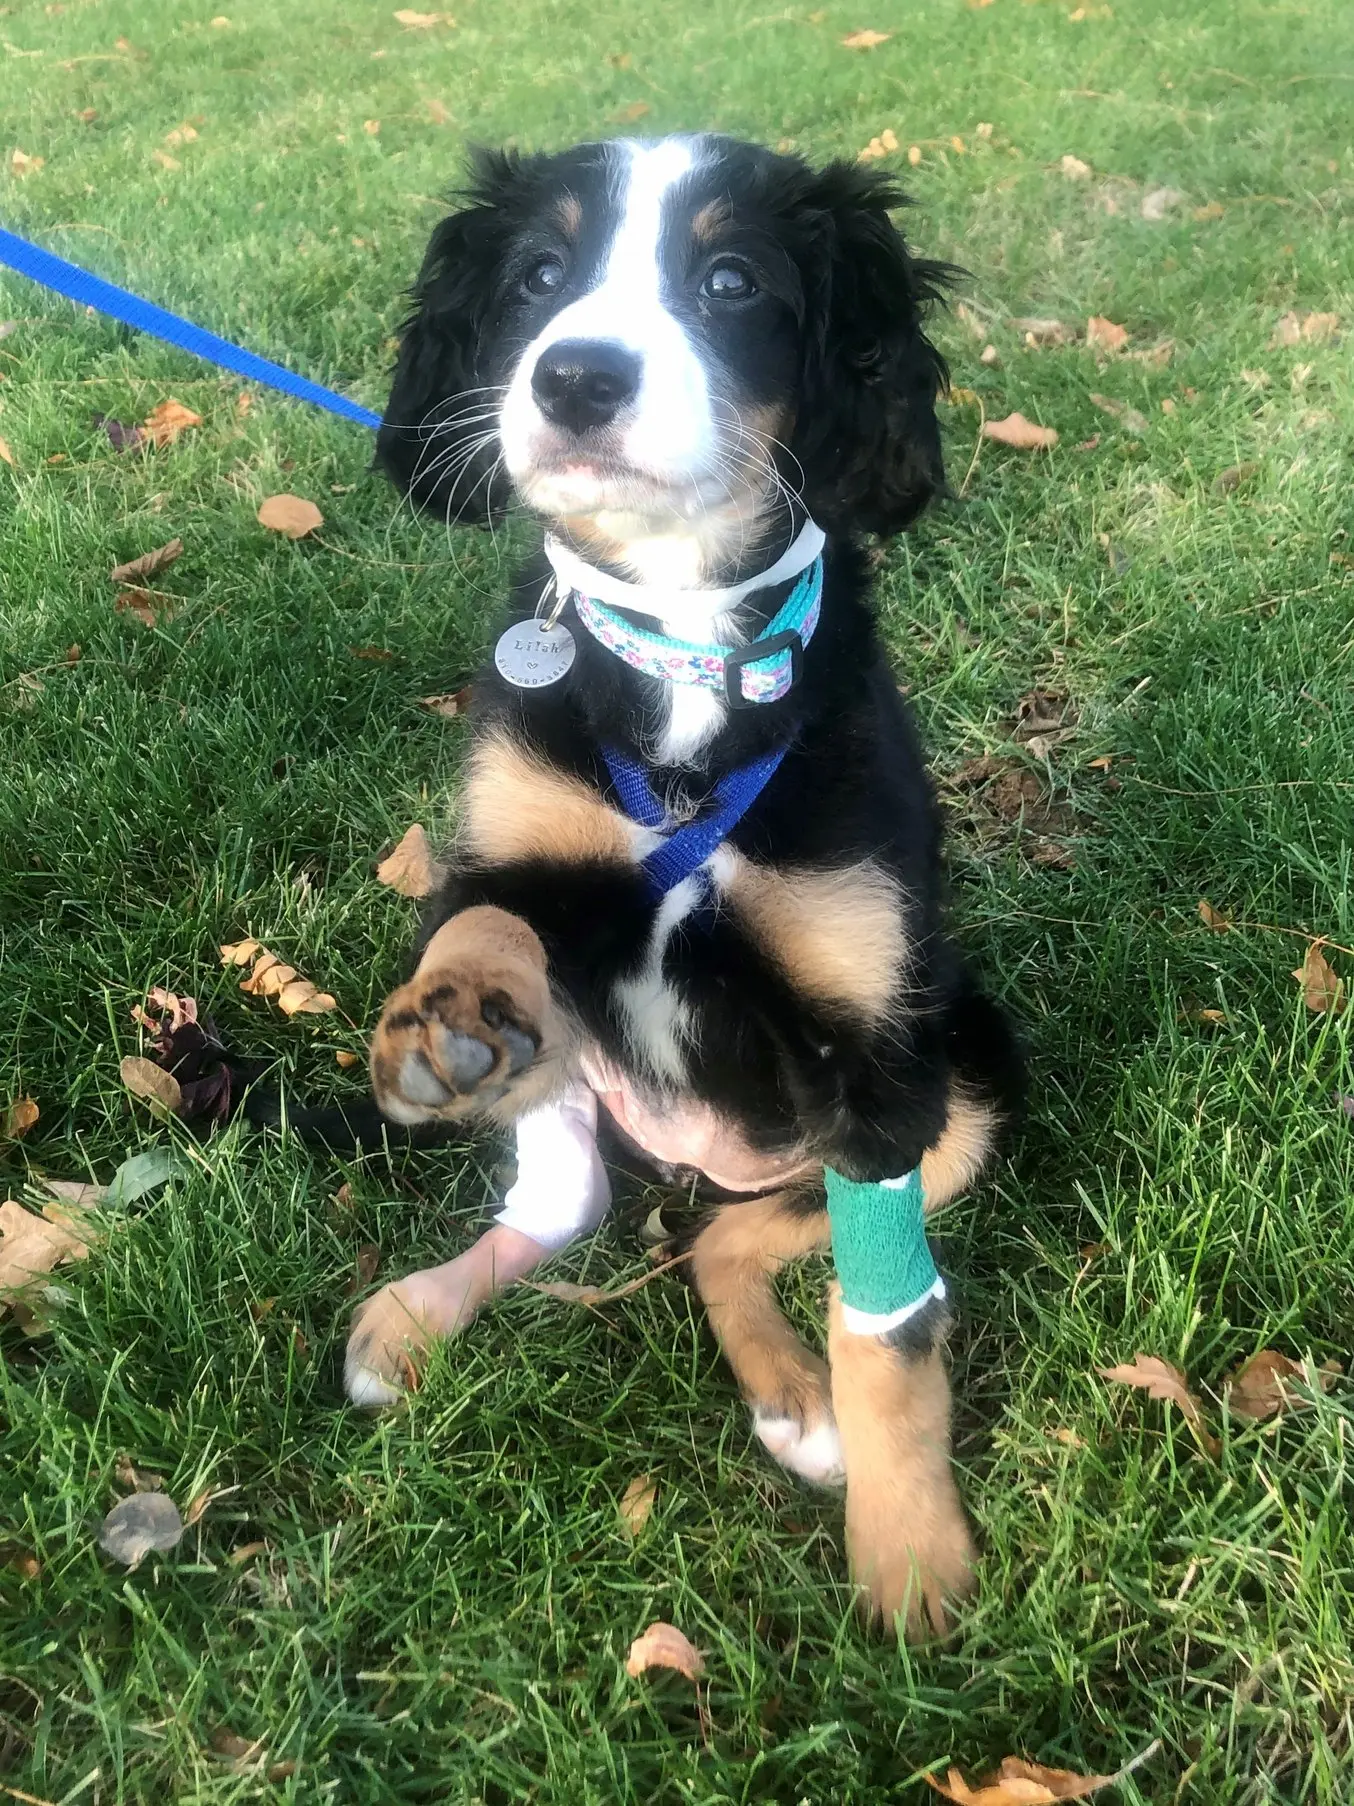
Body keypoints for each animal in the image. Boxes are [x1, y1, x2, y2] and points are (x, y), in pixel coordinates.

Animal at [344, 133, 1025, 1647]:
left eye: (729, 281)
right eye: (539, 273)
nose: (574, 378)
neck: (683, 649)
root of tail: (701, 1146)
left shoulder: (875, 1055)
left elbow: (892, 1331)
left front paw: (911, 1566)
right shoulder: (505, 855)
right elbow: (486, 912)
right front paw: (445, 1013)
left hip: (968, 1083)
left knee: (740, 1241)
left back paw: (794, 1405)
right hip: (583, 1072)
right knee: (565, 1203)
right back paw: (415, 1310)